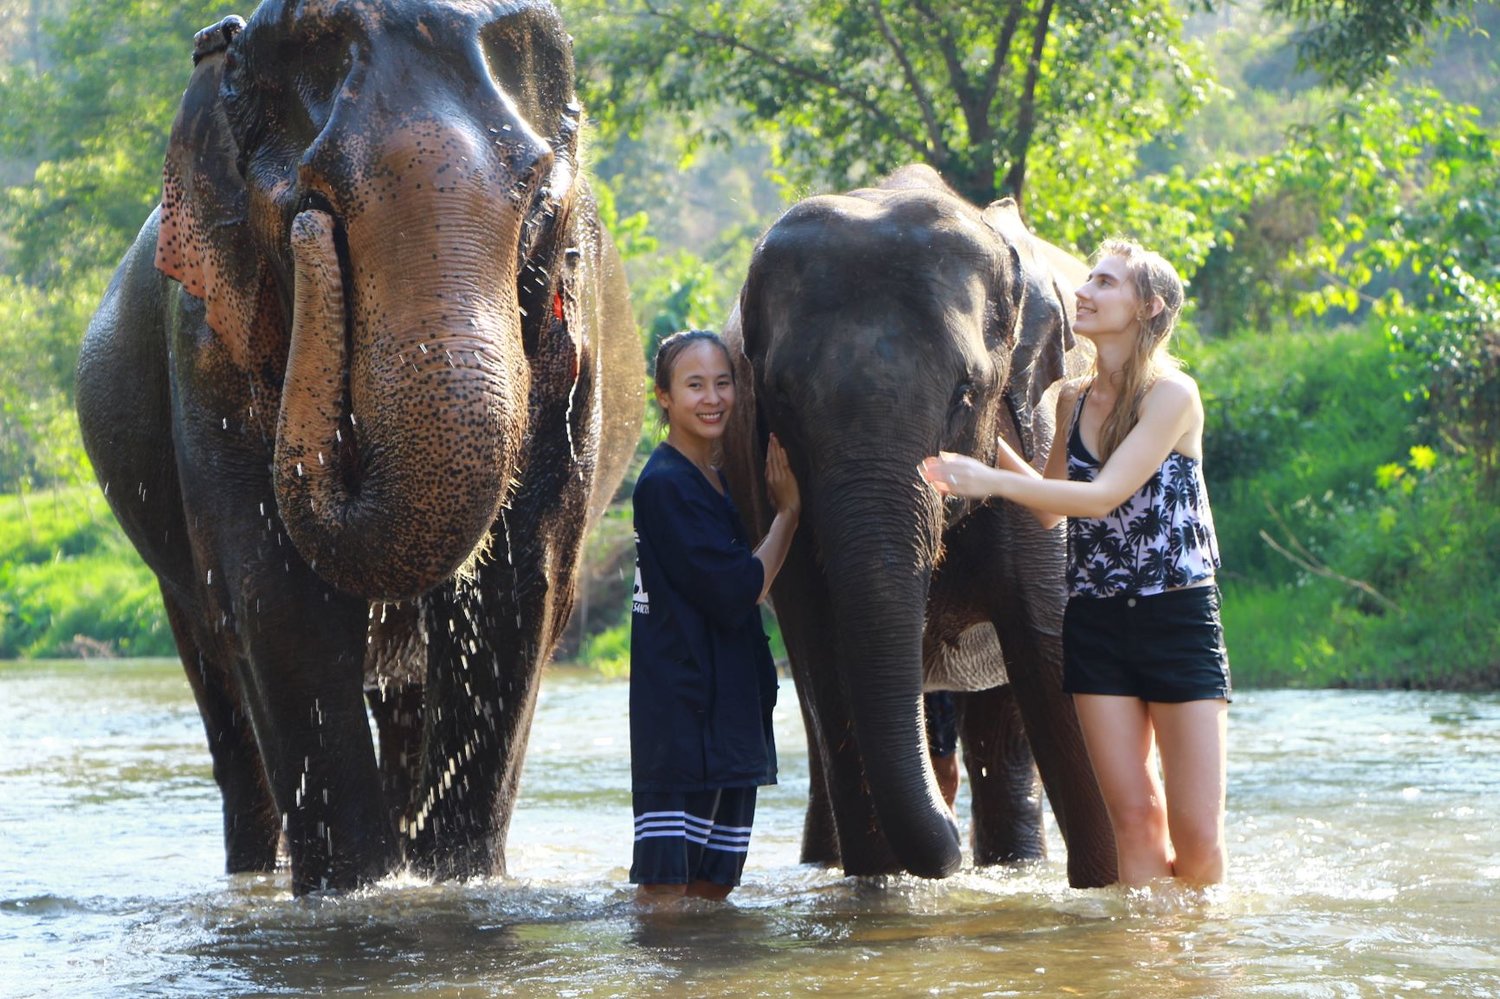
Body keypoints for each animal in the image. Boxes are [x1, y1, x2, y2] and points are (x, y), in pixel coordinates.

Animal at [75, 0, 643, 895]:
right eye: (312, 200)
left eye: (539, 204)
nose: (313, 236)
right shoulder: (203, 337)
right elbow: (274, 594)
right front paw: (357, 887)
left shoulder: (571, 341)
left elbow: (523, 584)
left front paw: (457, 881)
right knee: (217, 675)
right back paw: (258, 874)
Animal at [719, 164, 1116, 888]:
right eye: (781, 397)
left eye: (966, 392)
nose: (947, 852)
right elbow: (826, 663)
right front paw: (881, 889)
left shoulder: (1039, 436)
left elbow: (1049, 649)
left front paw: (1116, 885)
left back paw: (1010, 866)